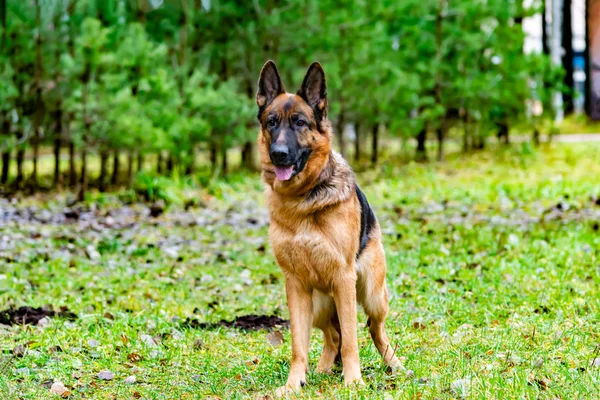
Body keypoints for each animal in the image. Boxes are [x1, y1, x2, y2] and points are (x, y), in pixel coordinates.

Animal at [255, 61, 400, 396]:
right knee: (331, 336)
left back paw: (394, 364)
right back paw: (321, 370)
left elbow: (351, 341)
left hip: (372, 294)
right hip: (320, 305)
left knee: (374, 328)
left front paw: (354, 381)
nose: (279, 154)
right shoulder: (295, 285)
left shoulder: (344, 280)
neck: (302, 201)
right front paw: (294, 383)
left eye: (299, 122)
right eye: (271, 122)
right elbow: (299, 345)